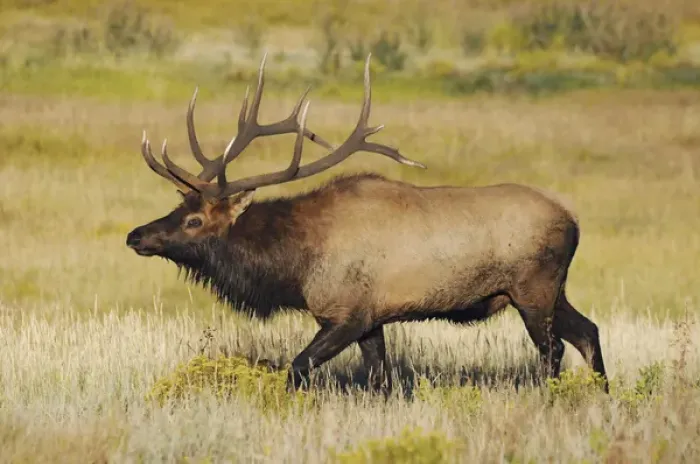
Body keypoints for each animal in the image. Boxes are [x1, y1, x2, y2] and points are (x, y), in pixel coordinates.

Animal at [125, 53, 608, 393]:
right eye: (179, 206)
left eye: (194, 219)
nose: (135, 235)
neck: (295, 264)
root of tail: (574, 222)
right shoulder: (374, 318)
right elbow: (381, 382)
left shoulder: (346, 314)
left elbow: (297, 369)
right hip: (551, 290)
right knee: (589, 331)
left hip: (533, 288)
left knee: (554, 348)